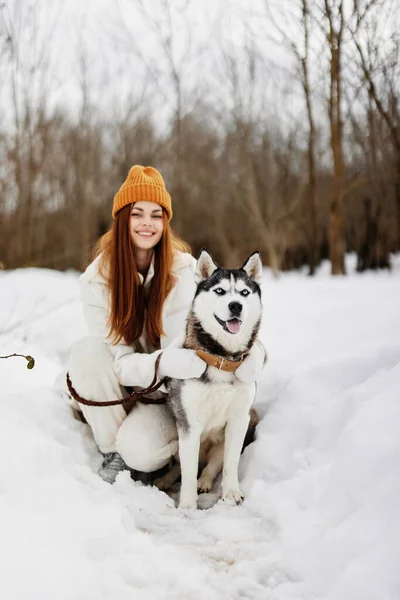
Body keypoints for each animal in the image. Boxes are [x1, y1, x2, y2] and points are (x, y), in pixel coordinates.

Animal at [164, 251, 268, 508]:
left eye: (244, 292)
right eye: (219, 291)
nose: (236, 305)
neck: (222, 358)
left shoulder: (240, 418)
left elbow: (230, 463)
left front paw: (231, 493)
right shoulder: (189, 423)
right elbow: (188, 471)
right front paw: (187, 505)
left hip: (250, 418)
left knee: (211, 466)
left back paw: (205, 481)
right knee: (182, 467)